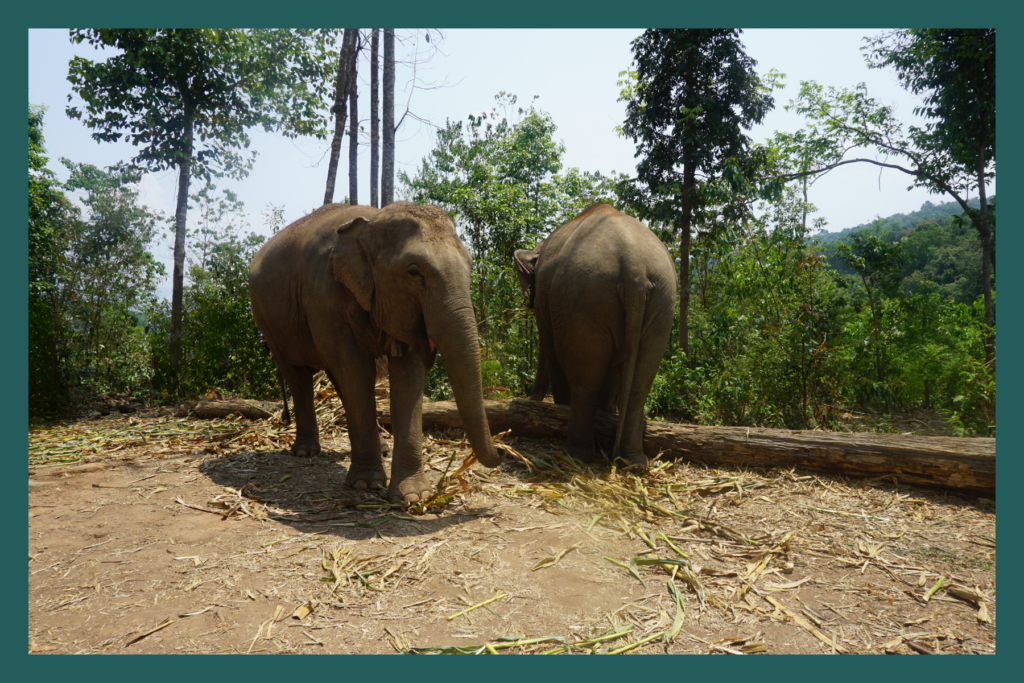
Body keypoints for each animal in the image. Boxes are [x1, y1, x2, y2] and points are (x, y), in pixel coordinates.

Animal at [249, 202, 504, 503]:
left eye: (470, 265)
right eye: (414, 272)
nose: (502, 451)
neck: (372, 219)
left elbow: (406, 374)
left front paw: (413, 497)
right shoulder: (323, 297)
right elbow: (355, 367)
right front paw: (366, 485)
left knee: (338, 380)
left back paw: (380, 448)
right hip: (268, 324)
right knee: (298, 376)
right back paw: (305, 452)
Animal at [513, 203, 676, 468]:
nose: (531, 400)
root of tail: (634, 267)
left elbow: (551, 352)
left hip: (584, 296)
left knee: (585, 381)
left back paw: (576, 454)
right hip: (661, 302)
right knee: (640, 383)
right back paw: (631, 461)